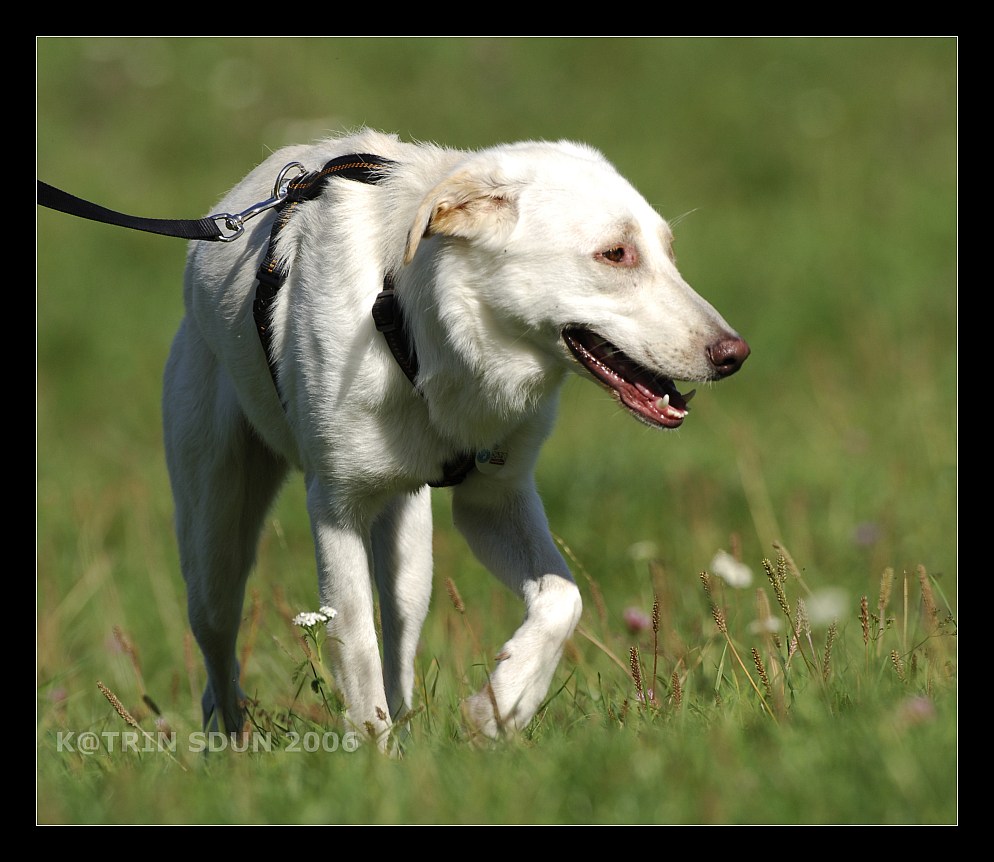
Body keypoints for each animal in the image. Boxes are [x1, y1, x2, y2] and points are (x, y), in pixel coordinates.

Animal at [163, 128, 748, 748]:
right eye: (615, 254)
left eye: (669, 251)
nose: (735, 355)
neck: (415, 322)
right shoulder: (335, 513)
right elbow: (357, 651)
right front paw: (373, 759)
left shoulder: (495, 501)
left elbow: (562, 599)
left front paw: (502, 704)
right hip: (215, 543)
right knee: (220, 653)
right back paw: (230, 748)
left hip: (412, 556)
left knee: (400, 641)